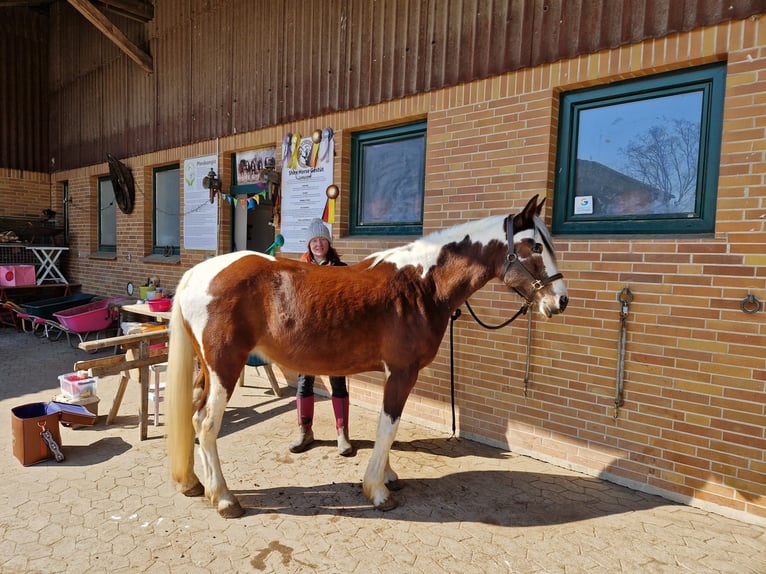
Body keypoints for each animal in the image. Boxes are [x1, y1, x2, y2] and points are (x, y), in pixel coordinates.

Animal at [165, 196, 568, 520]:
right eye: (534, 245)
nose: (560, 300)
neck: (421, 285)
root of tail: (199, 274)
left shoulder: (397, 374)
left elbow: (389, 426)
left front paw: (388, 476)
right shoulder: (403, 372)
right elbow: (388, 427)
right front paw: (377, 490)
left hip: (208, 370)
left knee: (194, 418)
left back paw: (195, 484)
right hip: (225, 368)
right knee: (207, 425)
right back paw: (225, 499)